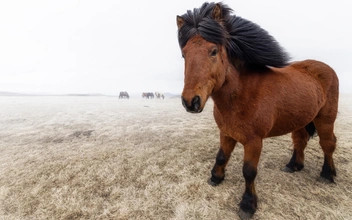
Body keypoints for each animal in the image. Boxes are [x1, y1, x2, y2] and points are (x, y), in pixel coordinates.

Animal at [177, 2, 340, 219]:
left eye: (213, 51)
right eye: (184, 54)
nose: (190, 101)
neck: (242, 92)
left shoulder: (254, 141)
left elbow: (249, 171)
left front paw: (248, 205)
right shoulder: (226, 133)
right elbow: (221, 156)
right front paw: (216, 178)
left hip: (325, 119)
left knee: (328, 144)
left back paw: (327, 174)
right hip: (301, 119)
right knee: (300, 141)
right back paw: (293, 166)